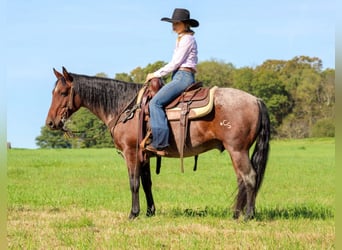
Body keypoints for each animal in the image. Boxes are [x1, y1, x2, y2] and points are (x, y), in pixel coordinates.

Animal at [46, 67, 270, 221]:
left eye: (63, 93)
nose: (50, 123)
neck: (125, 106)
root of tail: (256, 100)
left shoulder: (131, 153)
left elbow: (134, 182)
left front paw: (133, 213)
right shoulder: (144, 155)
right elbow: (146, 183)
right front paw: (149, 212)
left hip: (237, 150)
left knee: (250, 177)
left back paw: (248, 215)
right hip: (237, 151)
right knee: (242, 179)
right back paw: (236, 214)